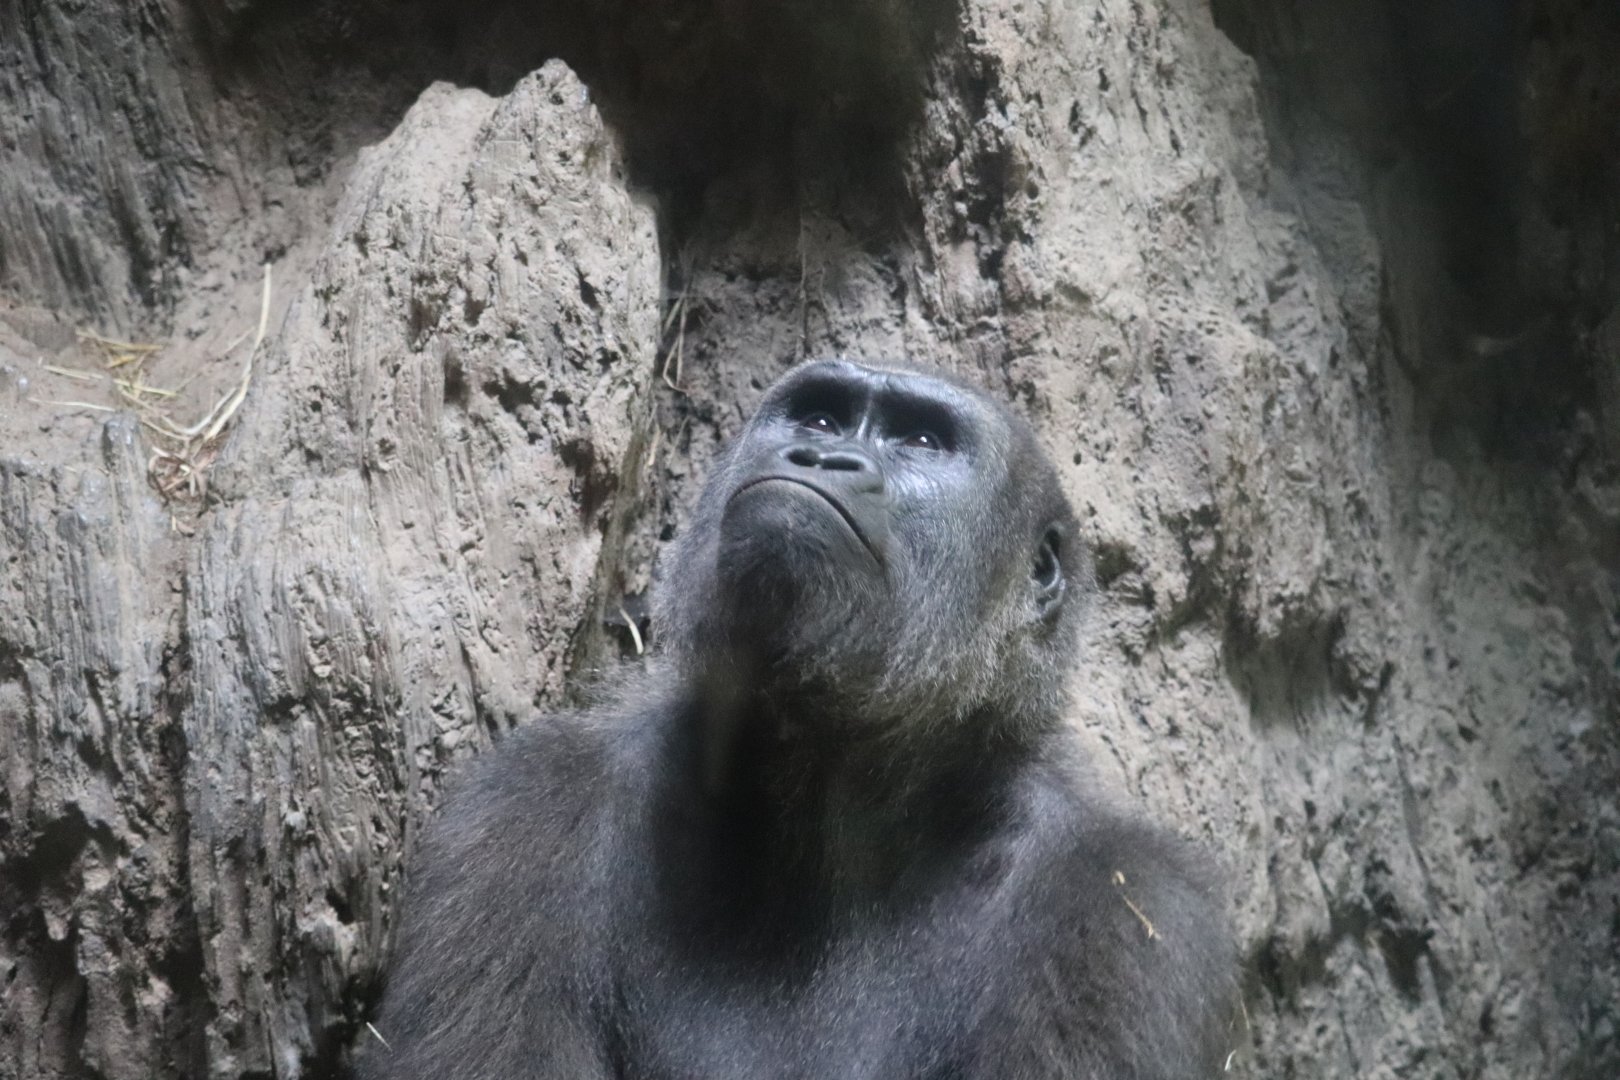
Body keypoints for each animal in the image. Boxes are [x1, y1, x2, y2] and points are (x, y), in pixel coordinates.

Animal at [359, 359, 1236, 1080]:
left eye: (922, 439)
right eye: (817, 419)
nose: (820, 459)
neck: (836, 781)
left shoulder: (1132, 902)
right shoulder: (522, 806)